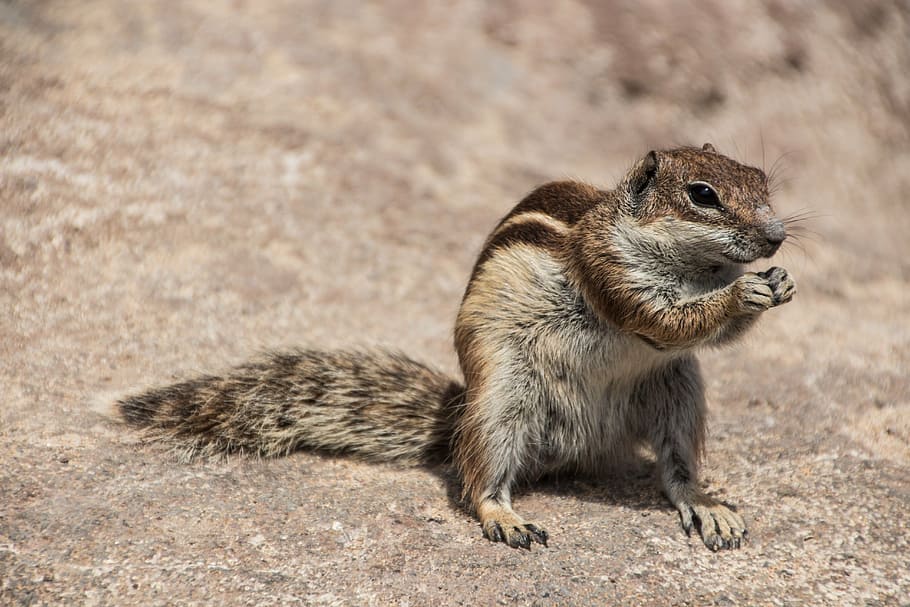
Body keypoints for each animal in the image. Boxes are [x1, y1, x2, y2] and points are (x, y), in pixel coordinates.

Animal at [118, 143, 796, 551]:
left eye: (762, 179)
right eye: (703, 194)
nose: (774, 238)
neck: (693, 268)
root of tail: (579, 447)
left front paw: (780, 283)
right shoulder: (611, 274)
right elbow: (664, 318)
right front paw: (742, 294)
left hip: (678, 390)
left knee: (675, 469)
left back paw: (705, 504)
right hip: (502, 400)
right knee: (479, 479)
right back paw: (507, 518)